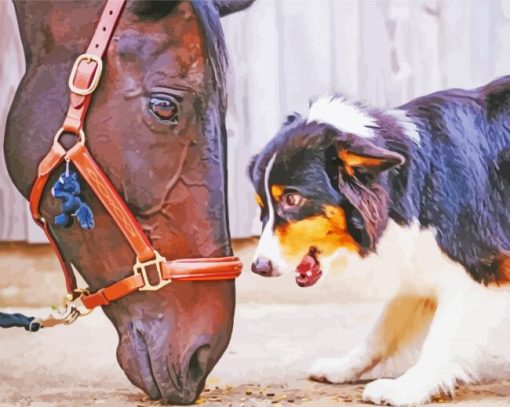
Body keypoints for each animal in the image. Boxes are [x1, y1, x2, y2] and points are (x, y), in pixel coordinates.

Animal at [247, 75, 510, 404]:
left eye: (292, 199)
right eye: (261, 205)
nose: (259, 267)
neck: (407, 181)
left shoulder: (479, 267)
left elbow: (440, 339)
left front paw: (407, 388)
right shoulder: (419, 260)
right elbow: (382, 330)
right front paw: (343, 368)